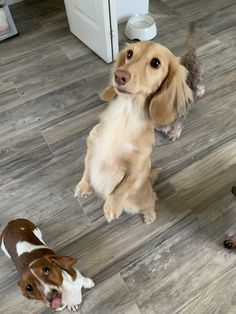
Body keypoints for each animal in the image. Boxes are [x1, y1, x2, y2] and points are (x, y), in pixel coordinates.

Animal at [74, 40, 193, 224]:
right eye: (129, 53)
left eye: (155, 63)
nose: (119, 76)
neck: (125, 115)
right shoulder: (91, 148)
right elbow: (87, 170)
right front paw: (84, 186)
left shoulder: (137, 170)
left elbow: (122, 187)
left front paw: (112, 206)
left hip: (140, 202)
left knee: (150, 205)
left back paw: (149, 216)